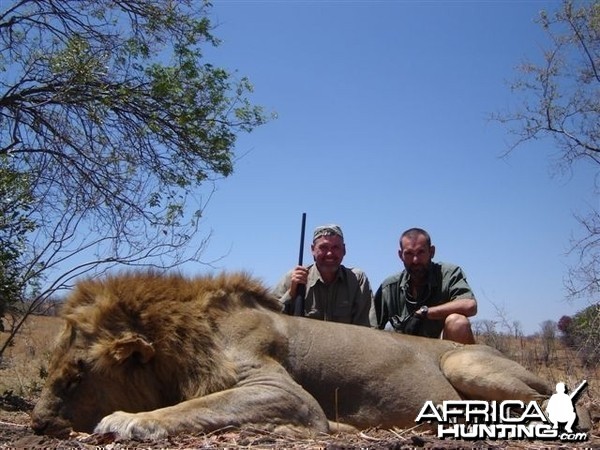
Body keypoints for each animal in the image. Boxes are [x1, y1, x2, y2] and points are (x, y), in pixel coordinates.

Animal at [31, 270, 552, 440]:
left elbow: (190, 407)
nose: (36, 424)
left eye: (77, 375)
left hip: (466, 363)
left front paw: (126, 420)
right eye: (49, 368)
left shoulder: (282, 389)